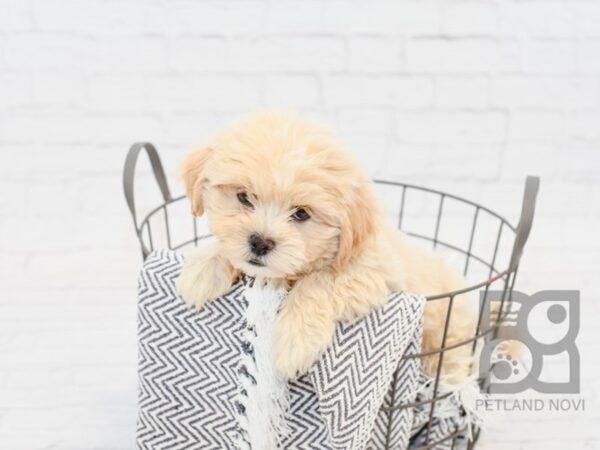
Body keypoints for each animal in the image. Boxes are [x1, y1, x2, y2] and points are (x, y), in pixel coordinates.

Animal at [176, 110, 476, 382]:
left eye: (301, 214)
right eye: (243, 197)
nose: (260, 242)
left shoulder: (372, 270)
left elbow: (321, 281)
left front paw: (295, 339)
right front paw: (204, 269)